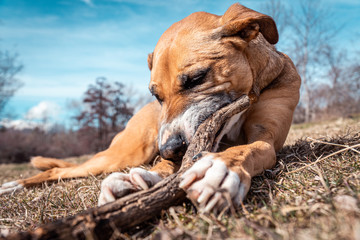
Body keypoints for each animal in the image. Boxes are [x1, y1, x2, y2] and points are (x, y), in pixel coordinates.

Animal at [0, 2, 300, 211]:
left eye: (196, 78)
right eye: (156, 96)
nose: (169, 149)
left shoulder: (266, 138)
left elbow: (248, 148)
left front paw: (220, 168)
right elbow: (164, 167)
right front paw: (138, 181)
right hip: (123, 155)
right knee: (59, 170)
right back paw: (14, 185)